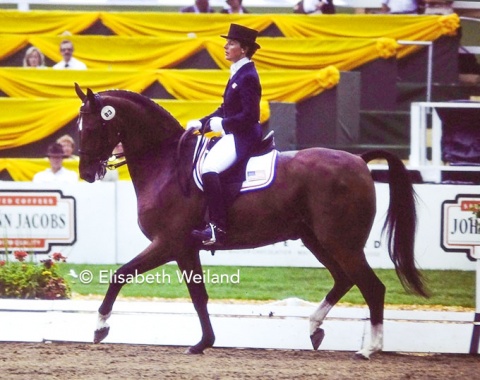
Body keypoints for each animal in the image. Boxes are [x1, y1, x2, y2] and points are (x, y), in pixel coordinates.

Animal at [75, 84, 428, 360]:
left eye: (90, 128)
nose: (86, 173)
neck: (167, 164)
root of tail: (358, 159)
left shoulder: (169, 243)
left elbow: (121, 275)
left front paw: (100, 327)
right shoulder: (185, 249)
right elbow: (199, 296)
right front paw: (204, 343)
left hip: (342, 242)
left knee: (372, 287)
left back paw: (369, 349)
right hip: (317, 239)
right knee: (344, 279)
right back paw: (315, 328)